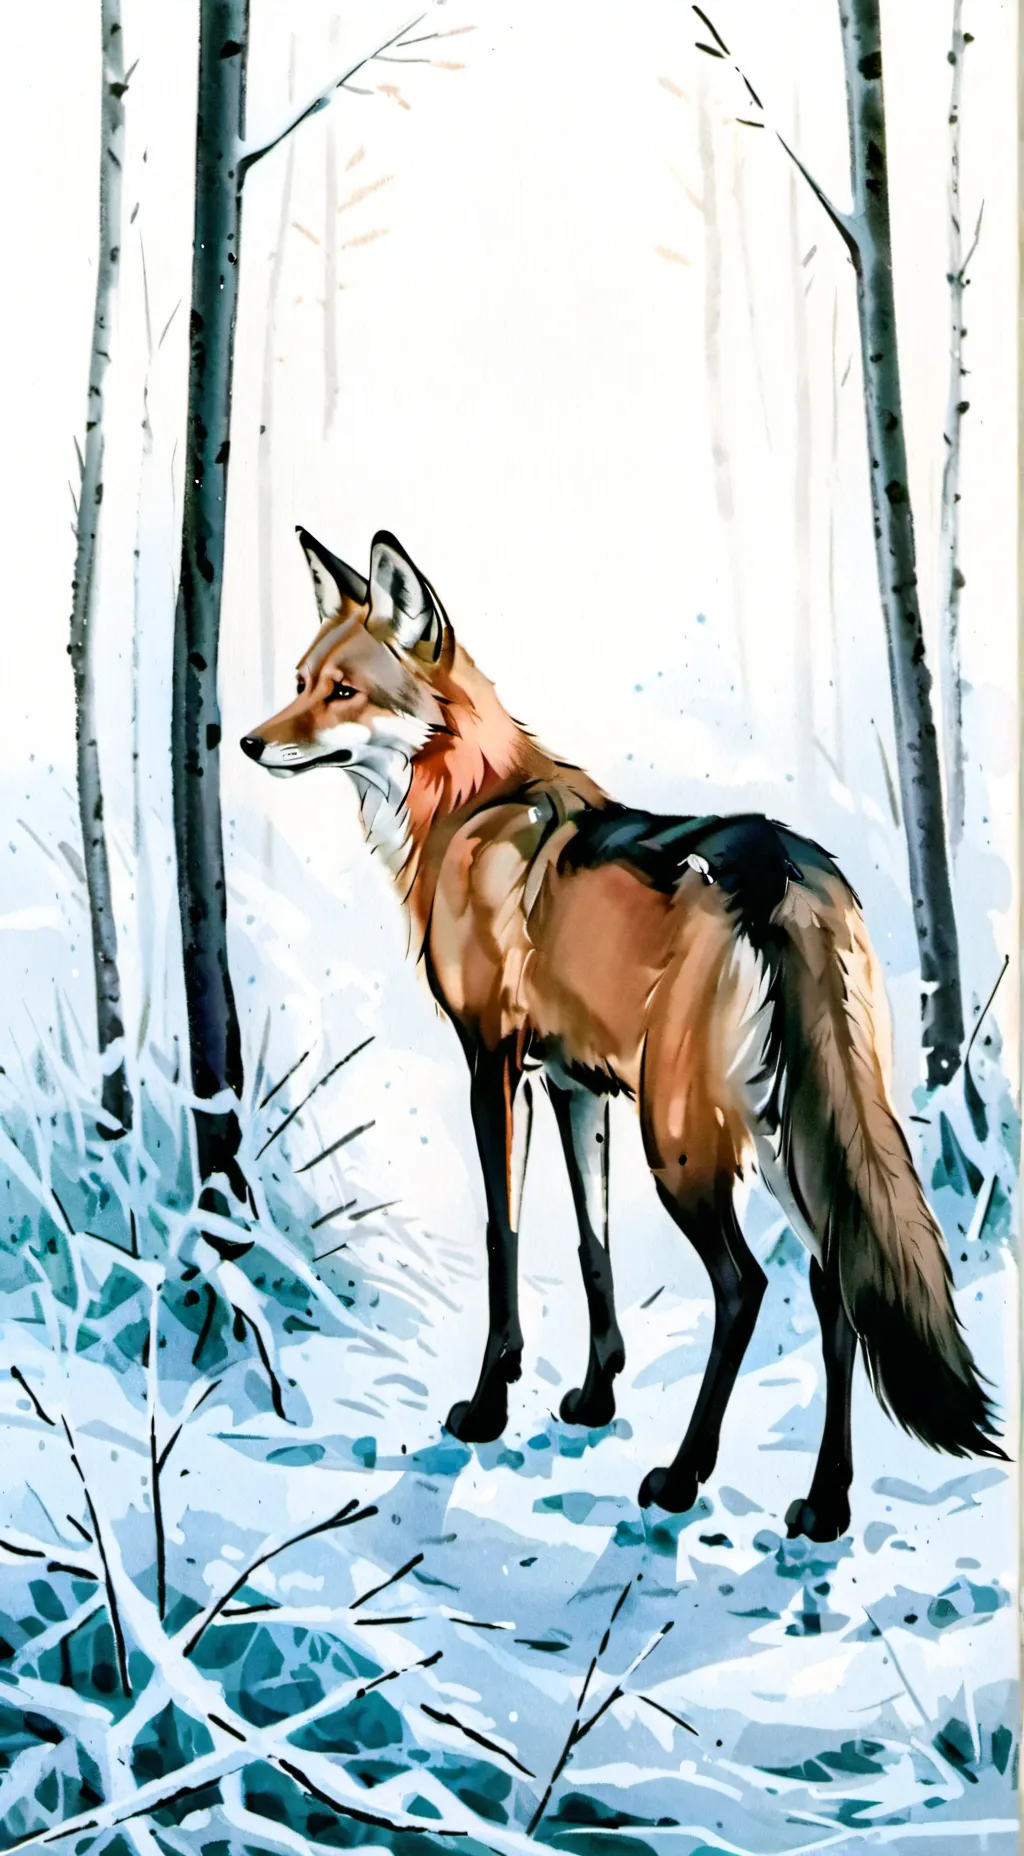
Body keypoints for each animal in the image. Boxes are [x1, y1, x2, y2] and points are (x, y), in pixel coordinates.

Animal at [241, 526, 1003, 1542]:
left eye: (343, 692)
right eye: (300, 679)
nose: (248, 741)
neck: (468, 804)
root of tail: (785, 867)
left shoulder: (492, 1062)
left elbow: (504, 1239)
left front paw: (489, 1405)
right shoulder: (575, 1084)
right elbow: (590, 1246)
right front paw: (597, 1393)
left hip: (679, 1140)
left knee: (745, 1288)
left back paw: (683, 1476)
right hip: (777, 1137)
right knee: (833, 1286)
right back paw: (827, 1501)